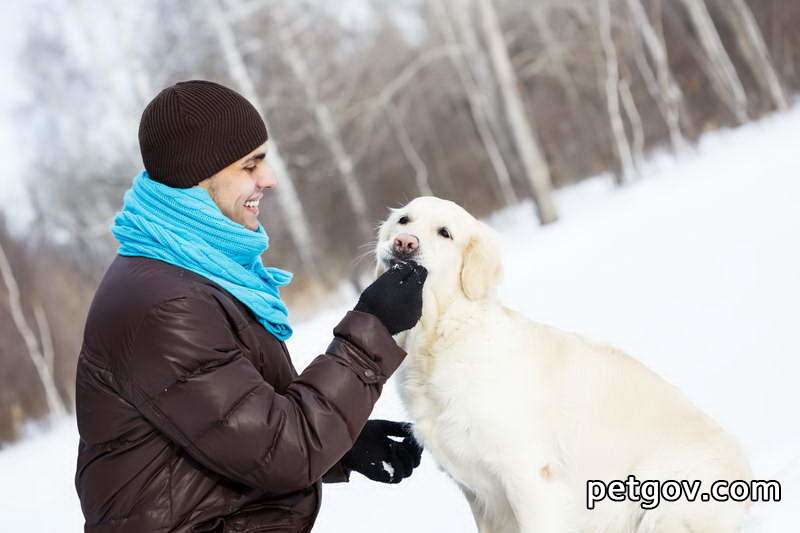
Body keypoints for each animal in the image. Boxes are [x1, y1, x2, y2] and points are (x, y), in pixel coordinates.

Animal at [374, 197, 752, 532]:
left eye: (445, 233)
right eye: (404, 221)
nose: (404, 243)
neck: (442, 338)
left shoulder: (527, 476)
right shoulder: (476, 494)